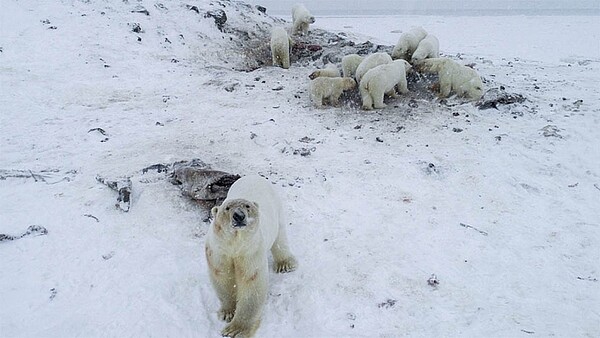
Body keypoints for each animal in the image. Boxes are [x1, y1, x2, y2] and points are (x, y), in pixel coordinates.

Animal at [206, 176, 298, 336]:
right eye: (227, 208)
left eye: (247, 206)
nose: (239, 216)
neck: (235, 244)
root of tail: (254, 176)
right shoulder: (219, 251)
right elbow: (222, 276)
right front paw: (227, 313)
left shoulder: (250, 251)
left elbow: (251, 283)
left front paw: (235, 330)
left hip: (276, 209)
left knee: (280, 237)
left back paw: (285, 264)